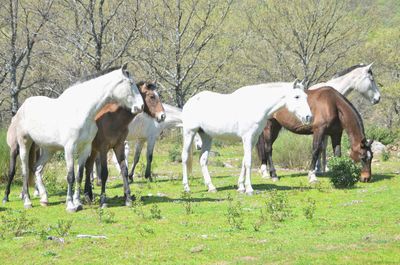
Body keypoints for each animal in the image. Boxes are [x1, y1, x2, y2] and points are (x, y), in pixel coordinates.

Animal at [11, 64, 145, 210]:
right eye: (131, 83)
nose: (141, 106)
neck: (81, 111)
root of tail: (23, 107)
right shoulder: (69, 148)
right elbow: (70, 176)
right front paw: (70, 204)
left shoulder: (85, 148)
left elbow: (79, 175)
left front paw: (78, 202)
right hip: (25, 144)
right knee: (25, 170)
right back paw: (27, 201)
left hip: (49, 149)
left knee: (37, 168)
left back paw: (44, 199)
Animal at [181, 80, 312, 194]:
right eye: (296, 96)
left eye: (306, 96)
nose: (308, 117)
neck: (256, 106)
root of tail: (190, 101)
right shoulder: (247, 138)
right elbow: (248, 162)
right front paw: (249, 189)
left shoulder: (253, 139)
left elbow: (244, 161)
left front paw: (241, 187)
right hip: (189, 133)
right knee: (185, 157)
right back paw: (187, 188)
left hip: (207, 136)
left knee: (203, 160)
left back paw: (211, 187)